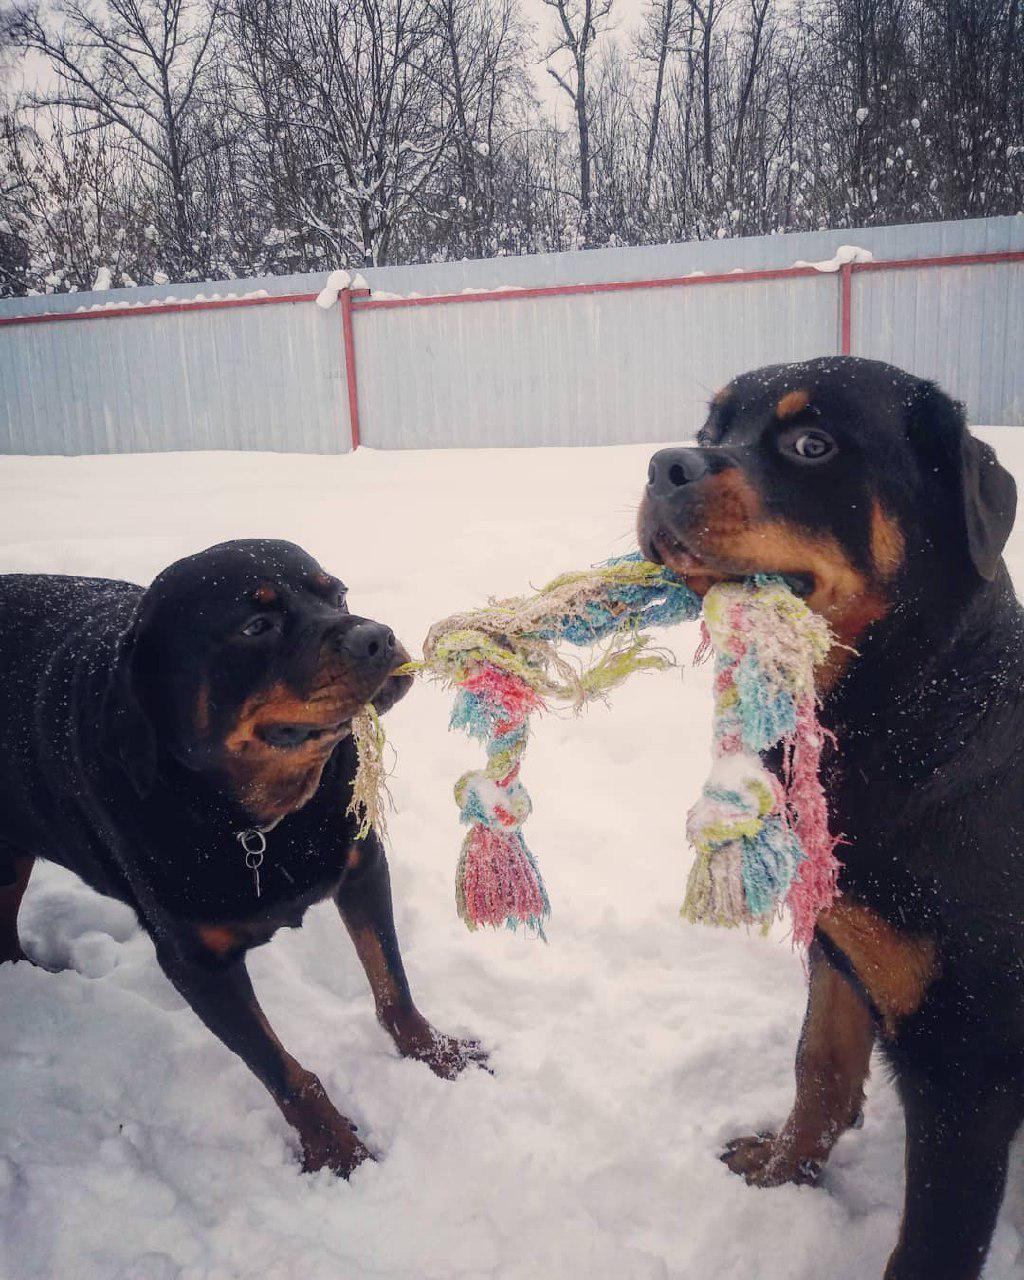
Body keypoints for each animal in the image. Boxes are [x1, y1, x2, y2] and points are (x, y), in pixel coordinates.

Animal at [0, 540, 488, 1177]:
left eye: (338, 594)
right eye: (257, 626)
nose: (377, 636)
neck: (258, 822)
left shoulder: (362, 870)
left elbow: (394, 989)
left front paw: (440, 1056)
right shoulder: (195, 965)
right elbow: (281, 1071)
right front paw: (339, 1153)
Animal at [640, 358, 1024, 1280]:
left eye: (811, 445)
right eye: (709, 435)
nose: (666, 465)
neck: (907, 713)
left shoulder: (970, 1059)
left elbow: (934, 1239)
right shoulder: (840, 939)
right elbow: (819, 1066)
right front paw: (782, 1171)